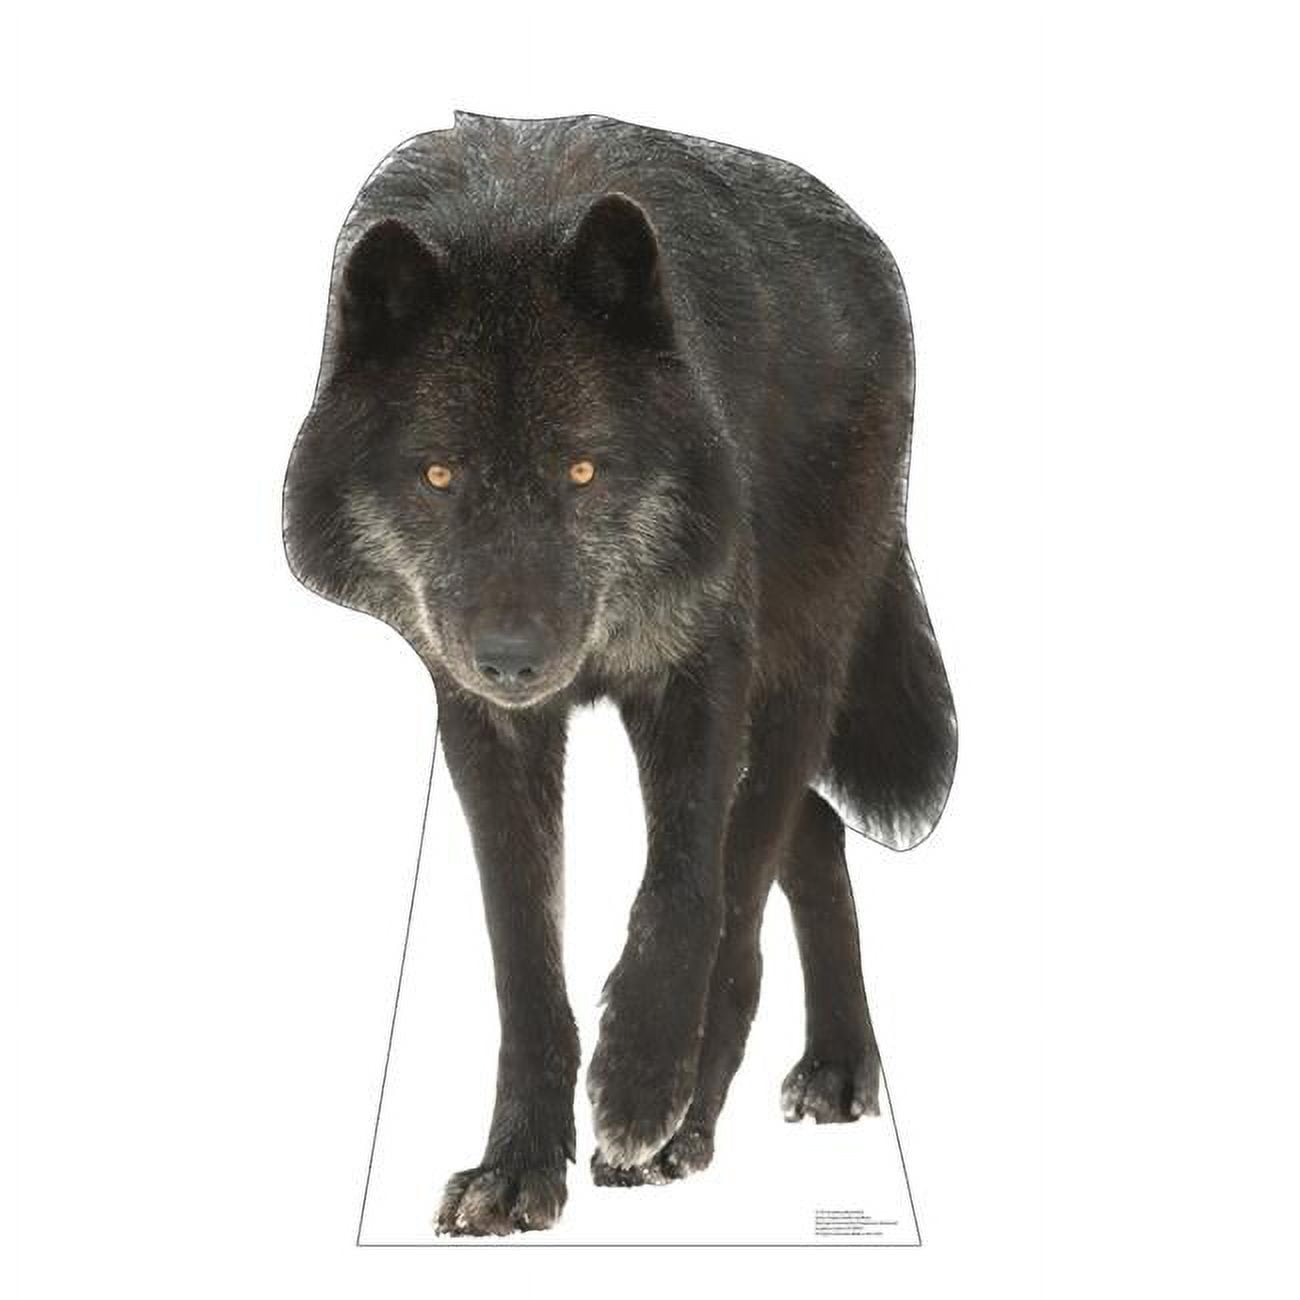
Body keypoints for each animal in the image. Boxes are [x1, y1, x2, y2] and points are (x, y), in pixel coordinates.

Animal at [282, 111, 956, 1236]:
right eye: (439, 476)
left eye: (583, 471)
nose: (514, 657)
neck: (507, 215)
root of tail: (870, 247)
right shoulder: (480, 719)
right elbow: (523, 956)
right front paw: (517, 1167)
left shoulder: (699, 670)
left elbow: (687, 896)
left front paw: (640, 1089)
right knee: (814, 833)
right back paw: (832, 1063)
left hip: (794, 677)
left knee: (757, 874)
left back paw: (704, 1114)